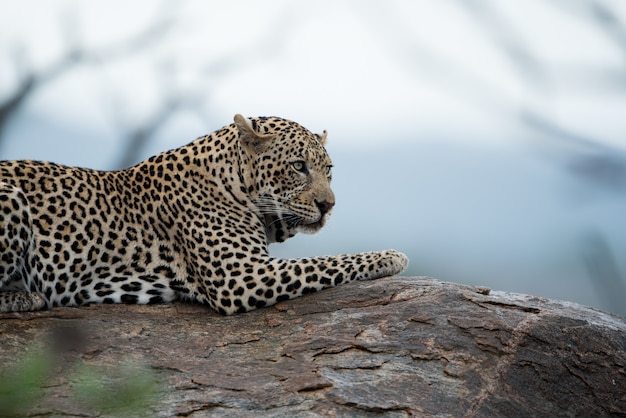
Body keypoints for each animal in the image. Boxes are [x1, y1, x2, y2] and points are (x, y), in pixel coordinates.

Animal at [0, 112, 408, 316]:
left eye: (329, 170)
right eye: (298, 166)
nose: (329, 205)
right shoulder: (241, 277)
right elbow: (325, 262)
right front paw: (391, 256)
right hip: (10, 196)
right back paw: (27, 297)